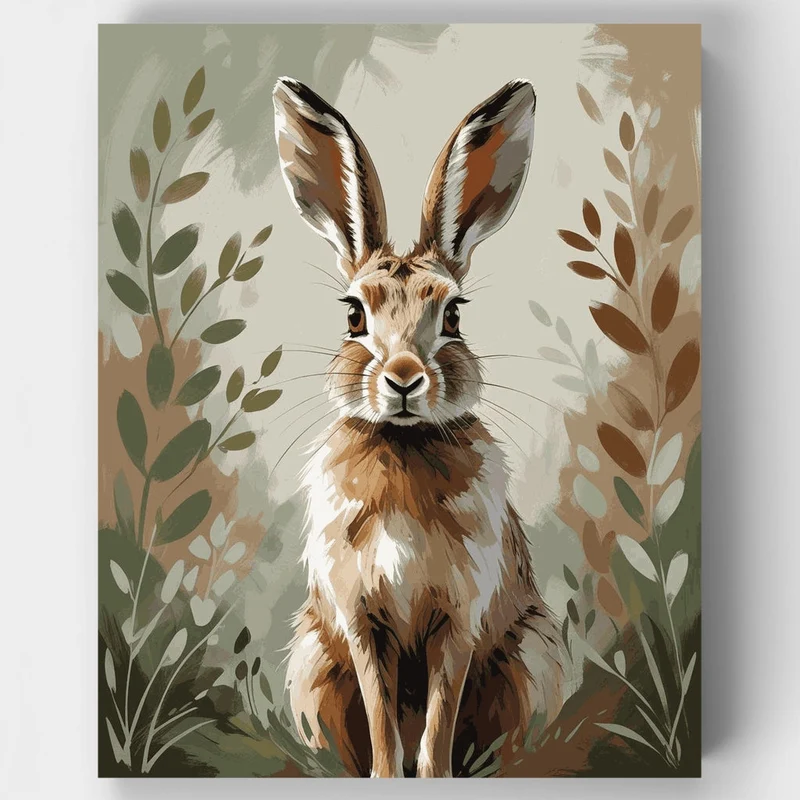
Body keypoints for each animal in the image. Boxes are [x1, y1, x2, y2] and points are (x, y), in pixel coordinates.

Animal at [273, 76, 563, 778]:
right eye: (353, 315)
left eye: (454, 315)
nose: (404, 378)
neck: (402, 446)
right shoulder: (361, 621)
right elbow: (382, 714)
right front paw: (387, 776)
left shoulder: (458, 619)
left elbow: (438, 717)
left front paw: (433, 777)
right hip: (312, 664)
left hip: (531, 659)